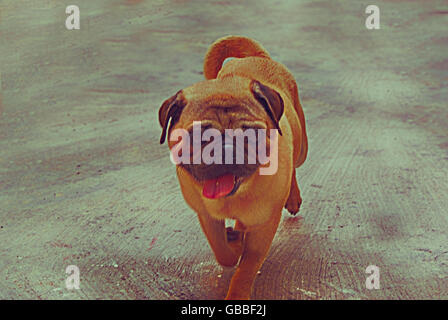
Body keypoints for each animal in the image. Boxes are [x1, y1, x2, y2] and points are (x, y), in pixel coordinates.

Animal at [158, 35, 308, 300]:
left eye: (251, 133)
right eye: (199, 136)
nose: (226, 148)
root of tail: (258, 57)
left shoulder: (264, 227)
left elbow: (247, 267)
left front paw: (238, 293)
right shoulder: (206, 216)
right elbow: (223, 253)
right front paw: (234, 242)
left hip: (301, 151)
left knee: (294, 167)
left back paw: (292, 197)